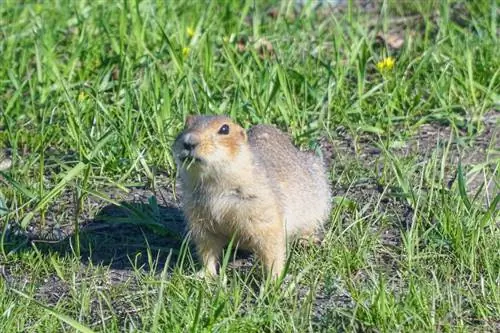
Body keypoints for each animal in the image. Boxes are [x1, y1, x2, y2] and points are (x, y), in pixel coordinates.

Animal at [174, 115, 330, 276]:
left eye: (225, 129)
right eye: (187, 123)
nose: (189, 141)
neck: (215, 186)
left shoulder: (263, 208)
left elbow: (271, 244)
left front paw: (274, 278)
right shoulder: (199, 217)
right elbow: (207, 248)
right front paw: (204, 274)